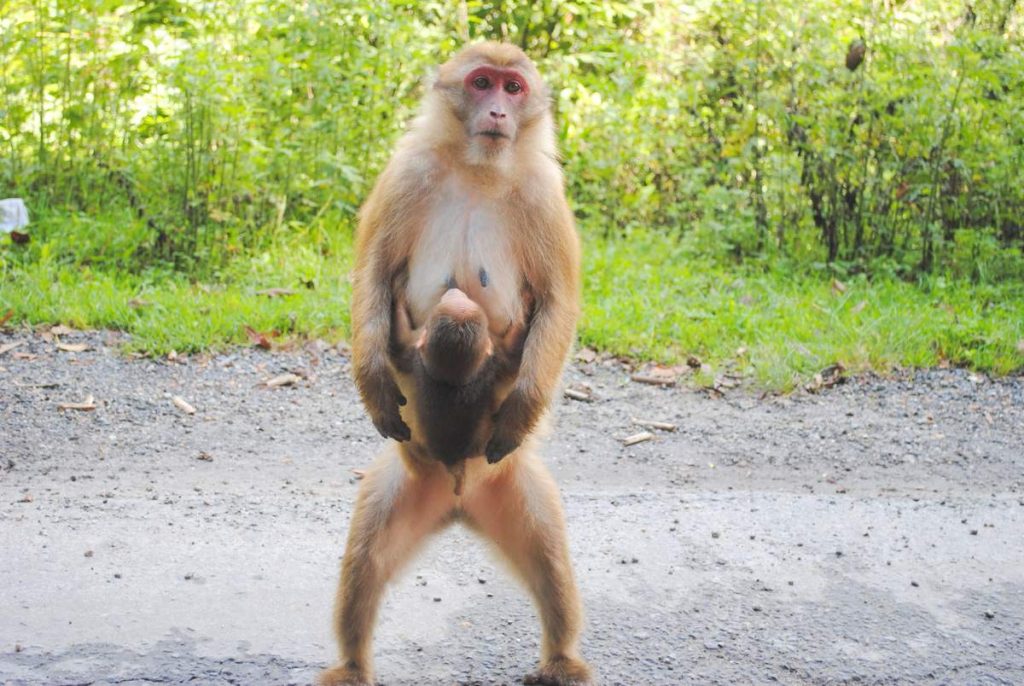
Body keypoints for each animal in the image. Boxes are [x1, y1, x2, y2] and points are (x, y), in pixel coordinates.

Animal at [319, 41, 593, 686]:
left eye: (514, 88)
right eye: (481, 83)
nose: (497, 112)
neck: (477, 168)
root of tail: (459, 497)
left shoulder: (545, 194)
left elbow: (557, 303)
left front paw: (521, 408)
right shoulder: (405, 174)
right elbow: (372, 274)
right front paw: (373, 381)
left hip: (511, 483)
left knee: (547, 557)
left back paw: (561, 659)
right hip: (405, 482)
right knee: (366, 559)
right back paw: (352, 664)